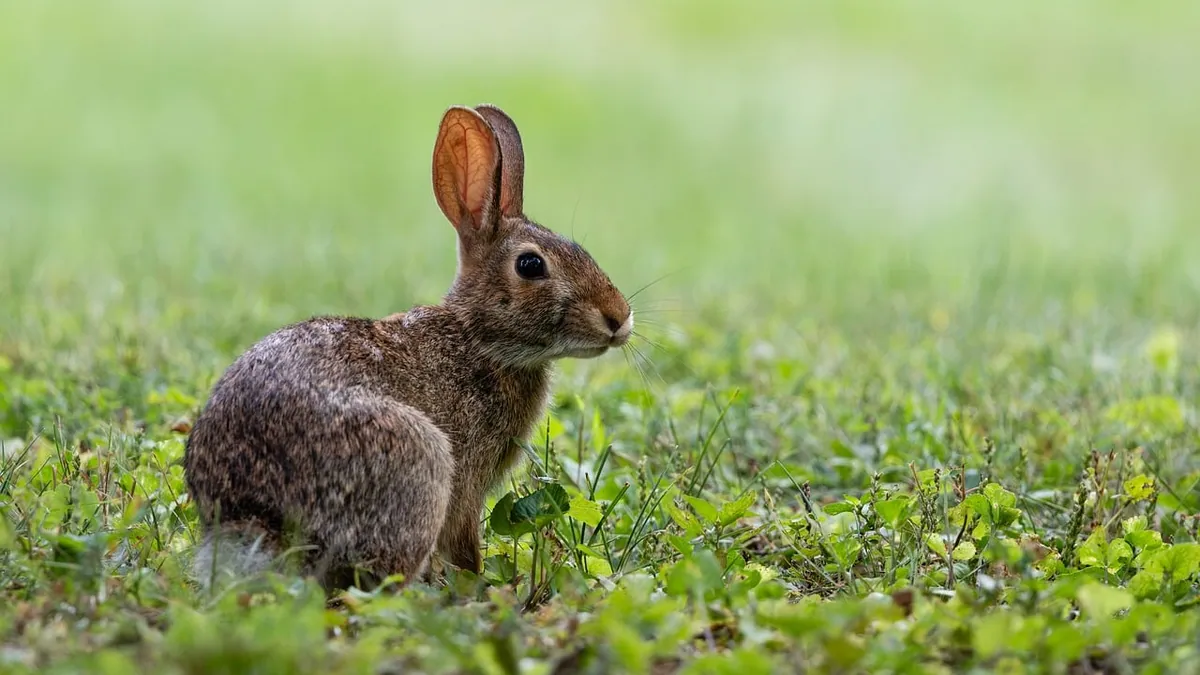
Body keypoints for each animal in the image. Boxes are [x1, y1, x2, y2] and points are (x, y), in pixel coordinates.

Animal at [183, 104, 633, 590]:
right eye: (530, 265)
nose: (619, 318)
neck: (480, 340)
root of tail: (254, 522)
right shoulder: (466, 478)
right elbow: (463, 541)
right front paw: (481, 583)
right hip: (420, 458)